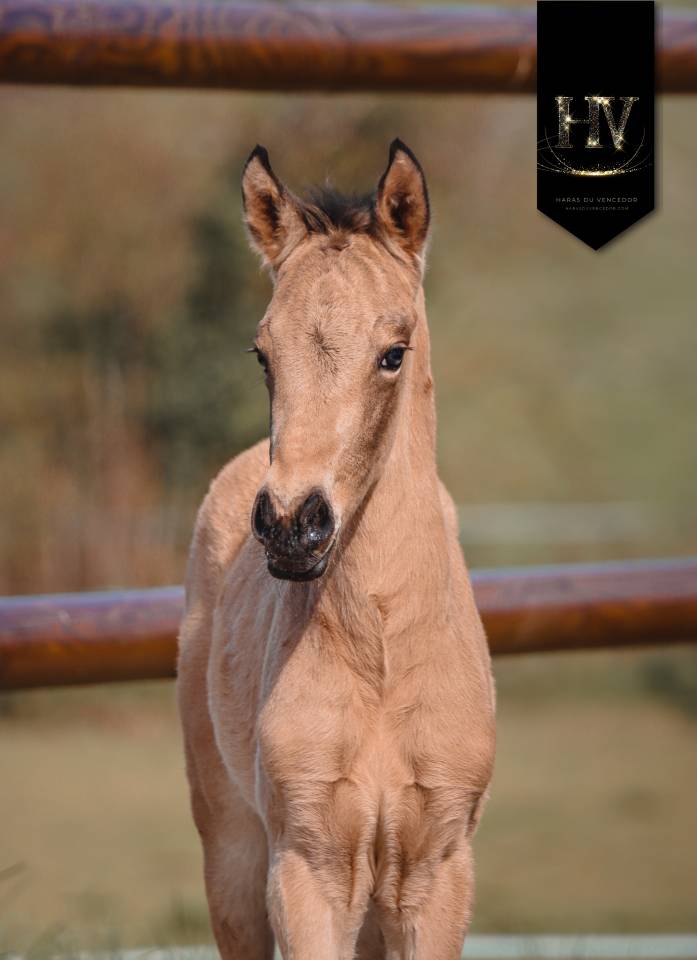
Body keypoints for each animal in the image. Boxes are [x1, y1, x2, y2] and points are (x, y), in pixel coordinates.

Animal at [177, 139, 496, 960]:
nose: (294, 523)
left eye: (393, 352)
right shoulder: (306, 869)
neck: (382, 653)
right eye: (262, 354)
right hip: (231, 855)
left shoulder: (437, 873)